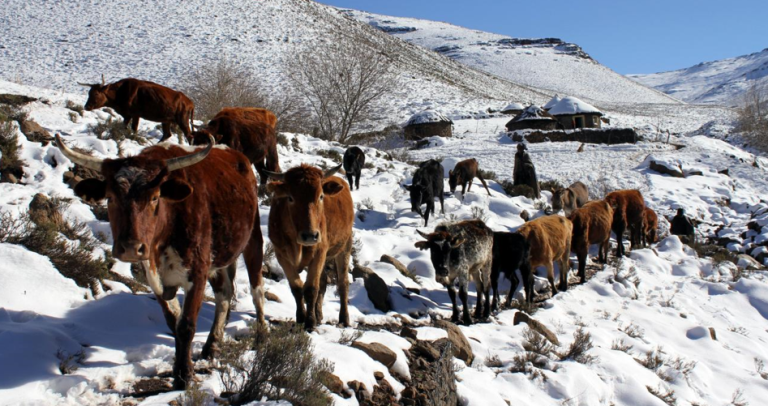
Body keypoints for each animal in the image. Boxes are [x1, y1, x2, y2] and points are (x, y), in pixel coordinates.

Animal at [55, 134, 264, 389]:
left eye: (155, 198)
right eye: (111, 198)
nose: (131, 247)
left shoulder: (198, 271)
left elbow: (186, 325)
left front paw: (184, 375)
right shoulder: (153, 276)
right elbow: (173, 321)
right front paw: (180, 367)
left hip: (253, 239)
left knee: (256, 289)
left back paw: (262, 335)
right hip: (220, 258)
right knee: (224, 294)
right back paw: (212, 345)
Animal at [265, 164, 354, 331]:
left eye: (321, 196)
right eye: (290, 197)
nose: (310, 235)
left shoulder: (319, 252)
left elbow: (311, 288)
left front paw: (310, 323)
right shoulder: (281, 255)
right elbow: (297, 288)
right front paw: (301, 318)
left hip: (345, 246)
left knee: (343, 283)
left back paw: (344, 319)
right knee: (324, 282)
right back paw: (319, 315)